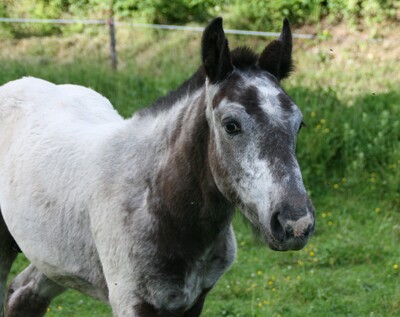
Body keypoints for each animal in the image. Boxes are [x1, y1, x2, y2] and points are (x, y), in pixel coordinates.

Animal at [0, 17, 316, 316]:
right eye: (231, 125)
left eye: (298, 124)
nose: (296, 224)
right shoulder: (131, 300)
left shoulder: (195, 299)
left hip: (55, 257)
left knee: (22, 293)